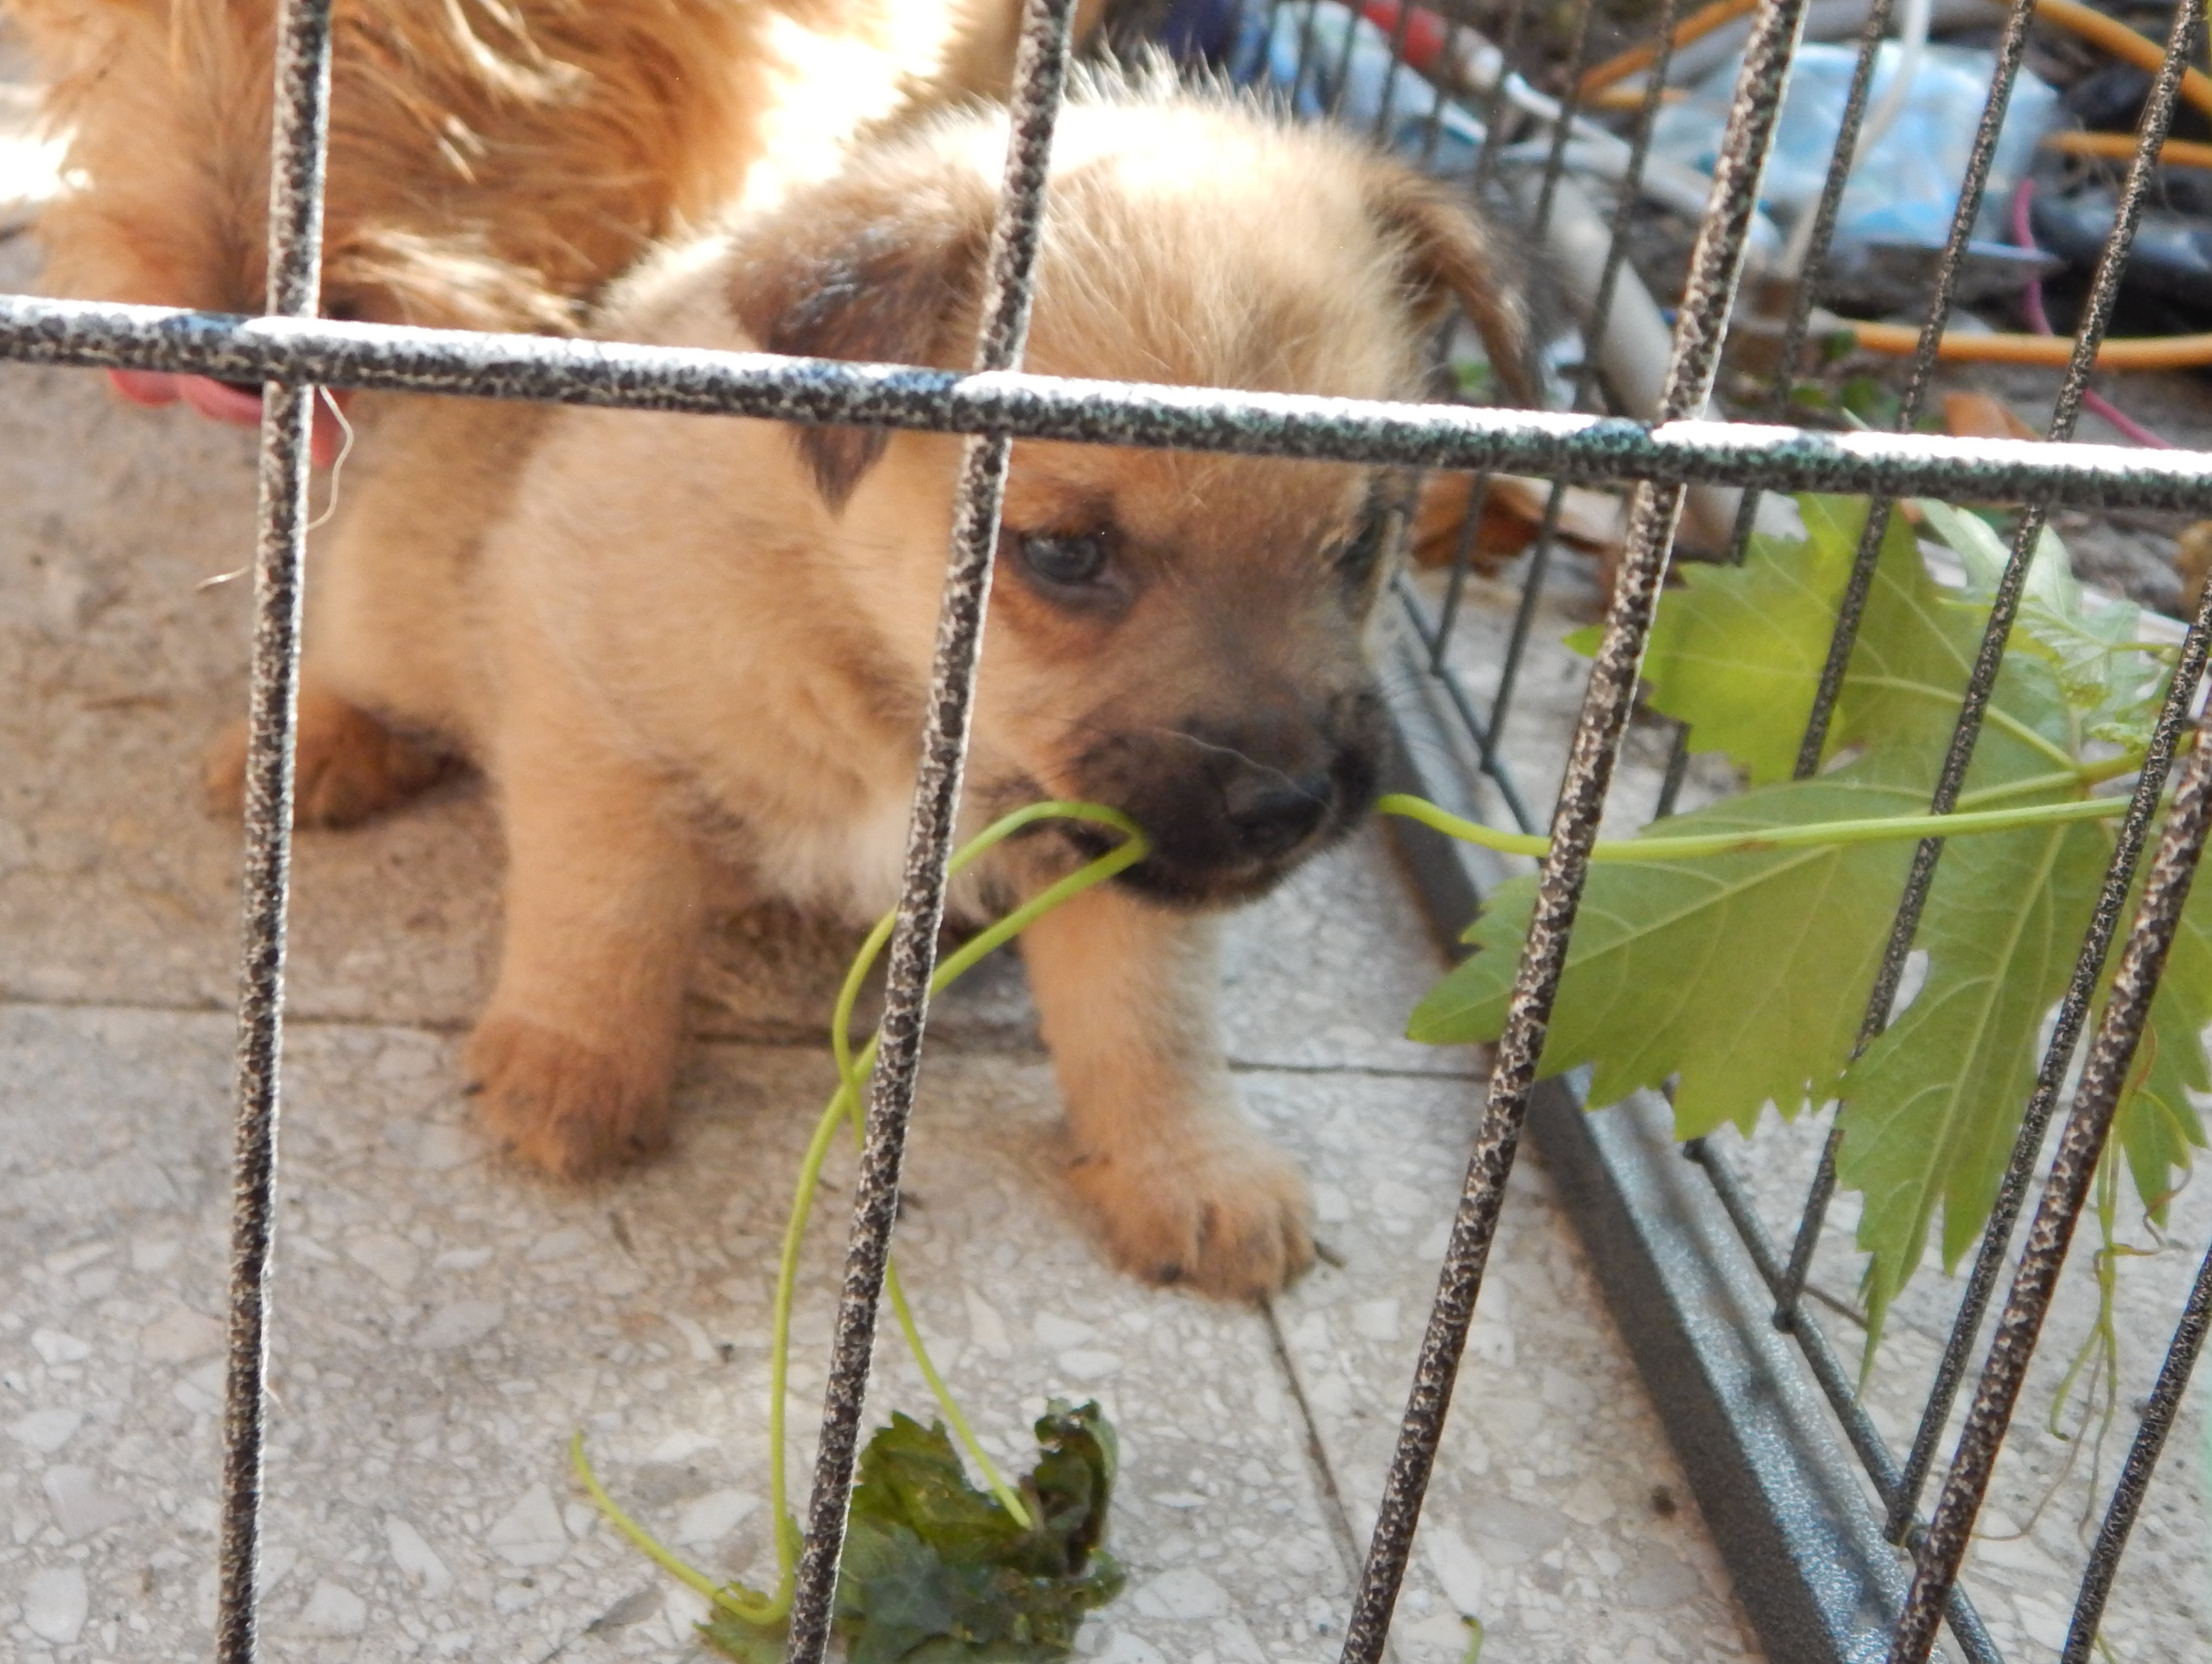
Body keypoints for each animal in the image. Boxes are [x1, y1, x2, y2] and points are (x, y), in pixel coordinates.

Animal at [207, 74, 1530, 1301]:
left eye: (1362, 541)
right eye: (1065, 552)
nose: (1290, 808)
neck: (887, 680)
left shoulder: (1126, 847)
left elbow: (1151, 1021)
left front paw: (1192, 1171)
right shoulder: (595, 709)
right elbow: (604, 913)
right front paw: (574, 1066)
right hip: (398, 599)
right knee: (366, 662)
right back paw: (312, 748)